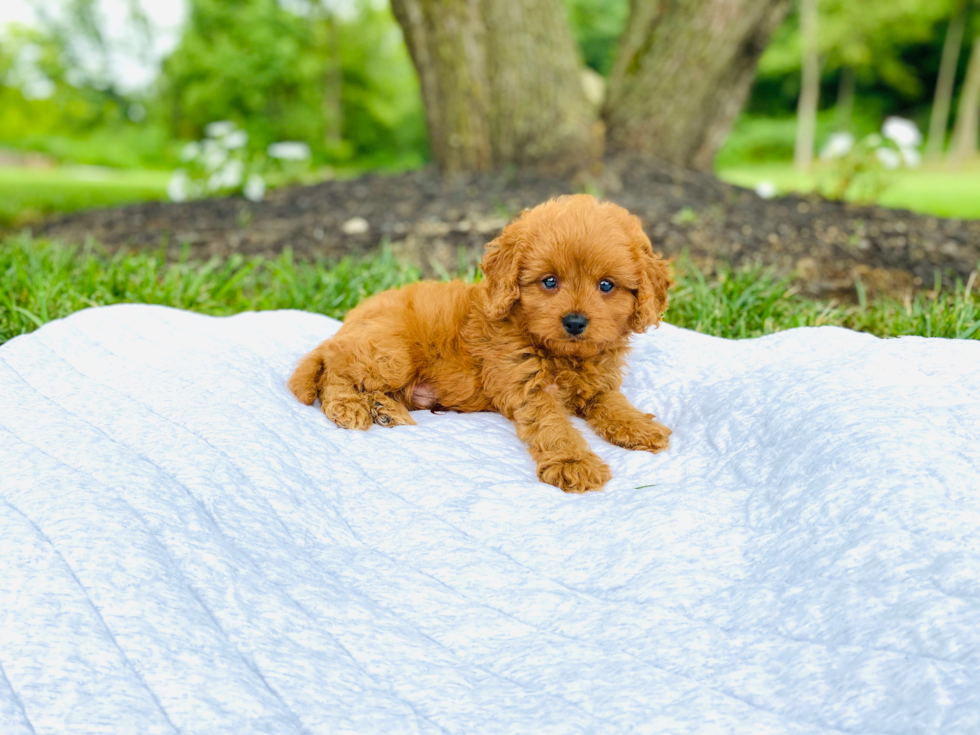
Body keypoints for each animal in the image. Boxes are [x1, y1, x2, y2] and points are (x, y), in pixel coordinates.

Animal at [290, 196, 672, 494]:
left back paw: (384, 409)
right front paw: (573, 462)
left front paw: (639, 426)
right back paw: (349, 406)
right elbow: (554, 426)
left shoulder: (597, 385)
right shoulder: (526, 387)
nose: (575, 322)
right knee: (334, 371)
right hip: (391, 355)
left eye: (606, 285)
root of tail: (345, 325)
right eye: (549, 281)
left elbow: (613, 402)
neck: (562, 353)